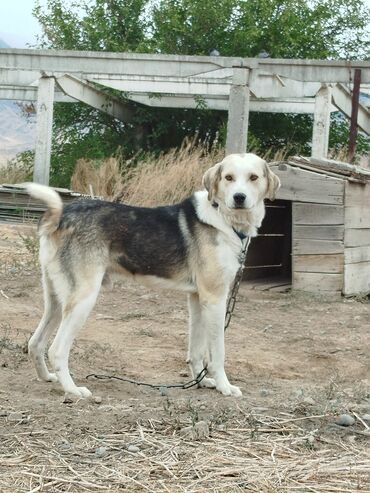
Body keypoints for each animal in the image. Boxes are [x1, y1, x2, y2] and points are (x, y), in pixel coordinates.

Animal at [25, 152, 280, 398]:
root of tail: (61, 215)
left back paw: (47, 377)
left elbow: (196, 350)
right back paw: (73, 390)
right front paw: (224, 387)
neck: (223, 218)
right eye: (228, 178)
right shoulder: (215, 298)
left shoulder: (198, 299)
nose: (239, 198)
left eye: (253, 177)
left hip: (56, 300)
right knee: (56, 350)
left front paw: (201, 381)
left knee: (35, 343)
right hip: (83, 299)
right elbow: (217, 353)